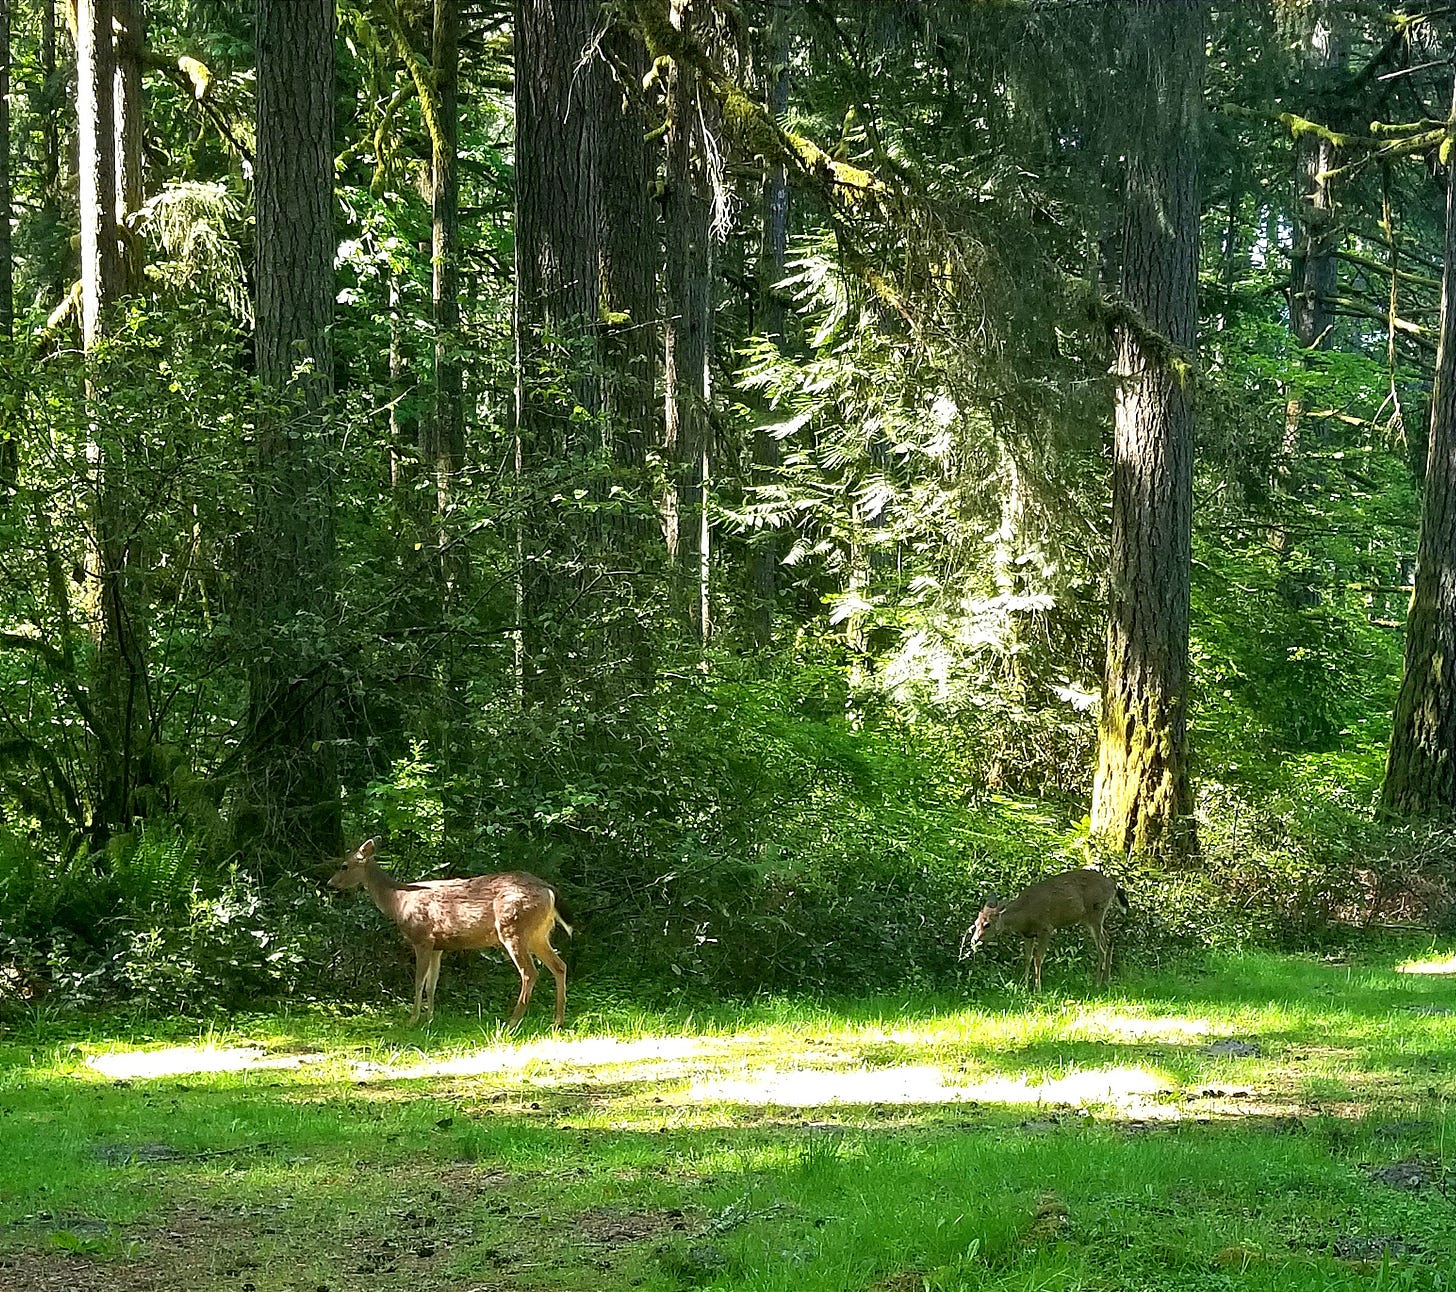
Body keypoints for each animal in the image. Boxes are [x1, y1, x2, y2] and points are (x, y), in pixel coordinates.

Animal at [328, 838, 573, 1030]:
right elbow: (432, 983)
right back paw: (557, 1022)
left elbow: (419, 981)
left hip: (513, 928)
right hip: (538, 934)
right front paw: (430, 1019)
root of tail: (549, 890)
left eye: (344, 866)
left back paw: (511, 1022)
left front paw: (413, 1019)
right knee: (560, 965)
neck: (398, 901)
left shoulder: (422, 938)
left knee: (529, 972)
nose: (330, 884)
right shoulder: (438, 946)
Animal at [967, 868, 1128, 991]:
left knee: (1102, 947)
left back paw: (1097, 983)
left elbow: (1038, 958)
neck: (1024, 915)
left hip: (1096, 913)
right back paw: (1106, 981)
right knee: (1109, 940)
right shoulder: (1028, 934)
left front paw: (1037, 989)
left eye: (987, 924)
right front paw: (1024, 986)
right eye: (975, 923)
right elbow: (1027, 958)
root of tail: (1114, 885)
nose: (974, 940)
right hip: (1092, 919)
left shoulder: (1046, 928)